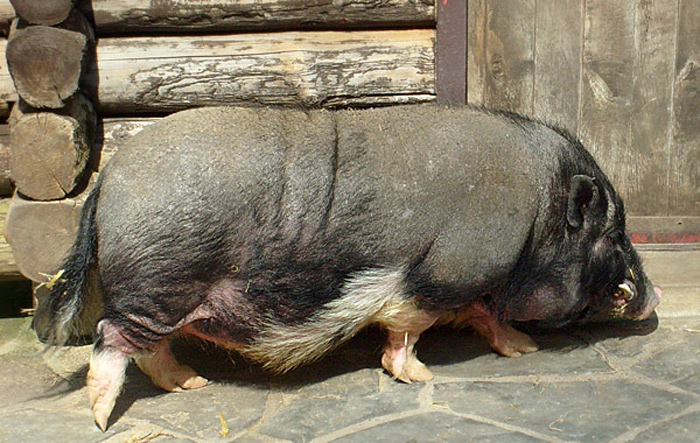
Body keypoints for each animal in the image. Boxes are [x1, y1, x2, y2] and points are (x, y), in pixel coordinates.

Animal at [39, 104, 660, 430]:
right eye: (613, 234)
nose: (654, 299)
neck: (536, 219)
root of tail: (109, 179)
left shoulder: (470, 286)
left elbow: (488, 317)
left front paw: (522, 349)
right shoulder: (436, 276)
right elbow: (409, 329)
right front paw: (422, 377)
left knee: (149, 348)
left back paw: (192, 383)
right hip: (159, 283)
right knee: (112, 338)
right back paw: (102, 418)